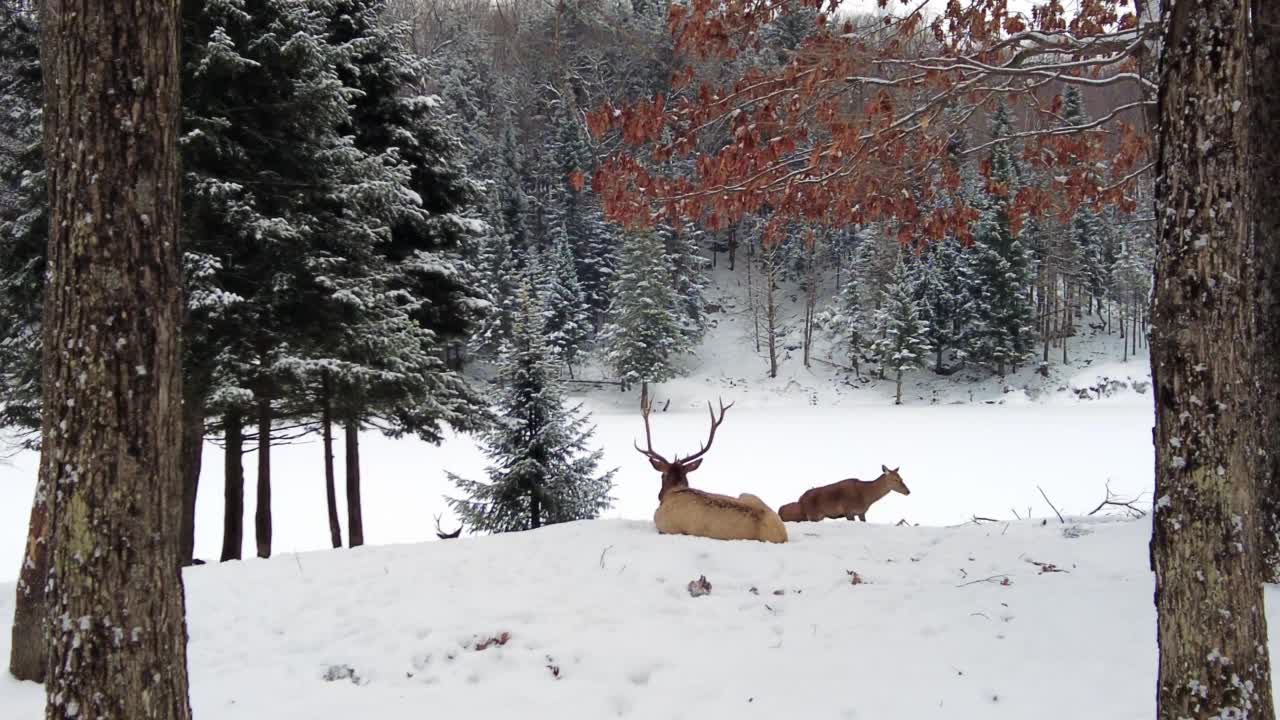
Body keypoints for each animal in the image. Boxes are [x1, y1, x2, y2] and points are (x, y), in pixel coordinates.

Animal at [632, 394, 783, 540]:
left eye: (662, 475)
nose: (658, 495)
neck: (674, 490)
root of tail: (783, 535)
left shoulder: (665, 525)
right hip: (747, 494)